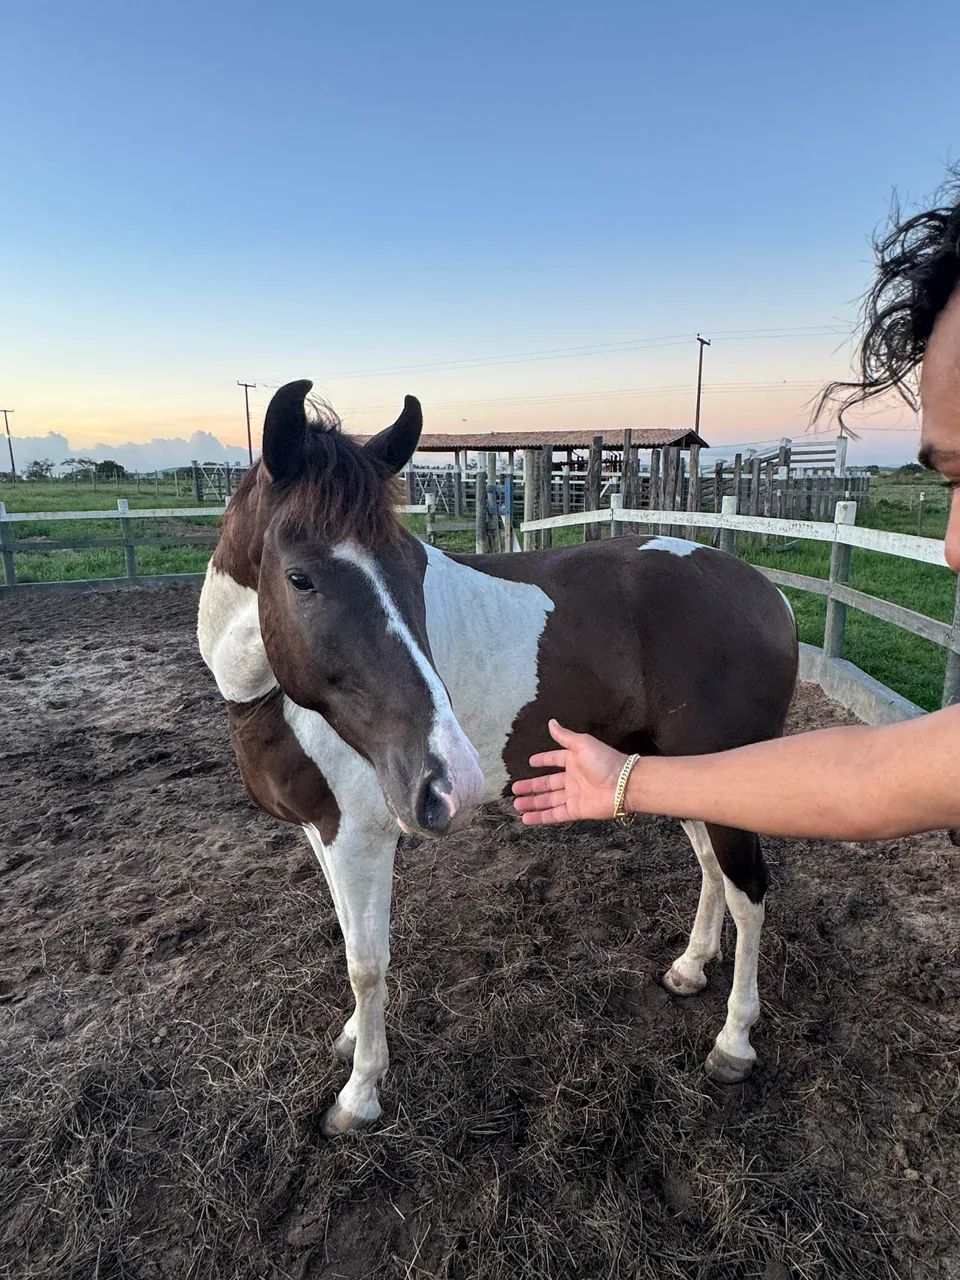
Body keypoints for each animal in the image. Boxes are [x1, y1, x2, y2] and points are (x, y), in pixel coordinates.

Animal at [198, 380, 798, 1137]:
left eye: (415, 566)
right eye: (300, 578)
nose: (448, 779)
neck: (270, 697)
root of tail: (770, 597)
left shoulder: (360, 836)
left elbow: (367, 961)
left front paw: (360, 1091)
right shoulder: (322, 833)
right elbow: (346, 935)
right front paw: (352, 1036)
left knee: (749, 893)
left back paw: (734, 1040)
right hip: (675, 770)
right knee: (712, 869)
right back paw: (690, 967)